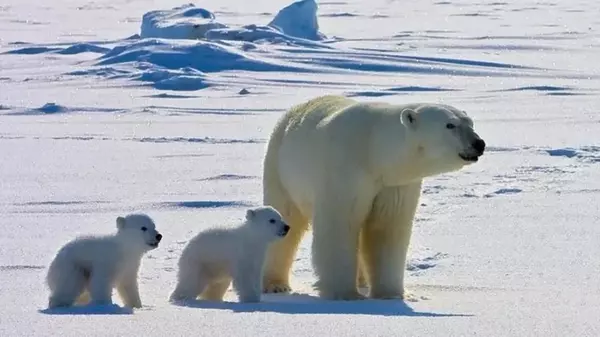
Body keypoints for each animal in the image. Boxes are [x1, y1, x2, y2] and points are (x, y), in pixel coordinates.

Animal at [260, 94, 486, 300]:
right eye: (450, 125)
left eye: (470, 122)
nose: (479, 143)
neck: (374, 151)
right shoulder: (345, 171)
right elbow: (340, 225)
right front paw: (345, 294)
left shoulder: (394, 184)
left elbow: (386, 228)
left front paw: (392, 295)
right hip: (280, 169)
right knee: (286, 217)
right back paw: (275, 284)